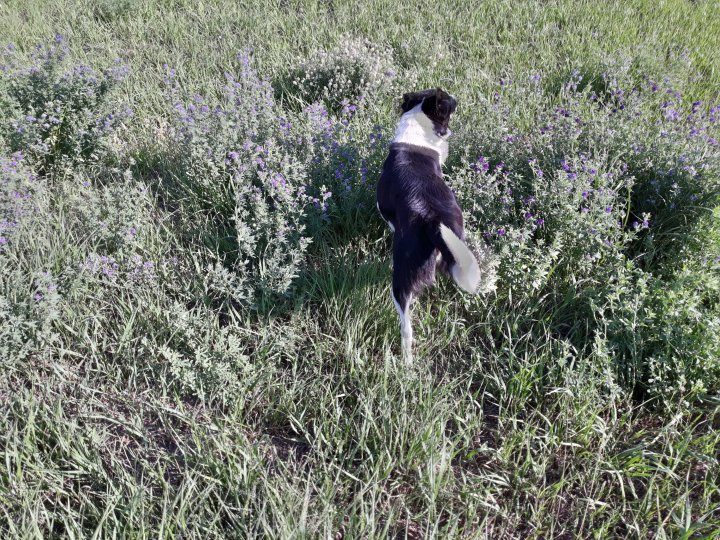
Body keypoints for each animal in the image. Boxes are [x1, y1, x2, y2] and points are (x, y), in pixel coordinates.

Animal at [377, 88, 481, 362]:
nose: (456, 96)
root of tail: (432, 220)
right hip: (456, 252)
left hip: (401, 280)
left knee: (406, 327)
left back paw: (406, 363)